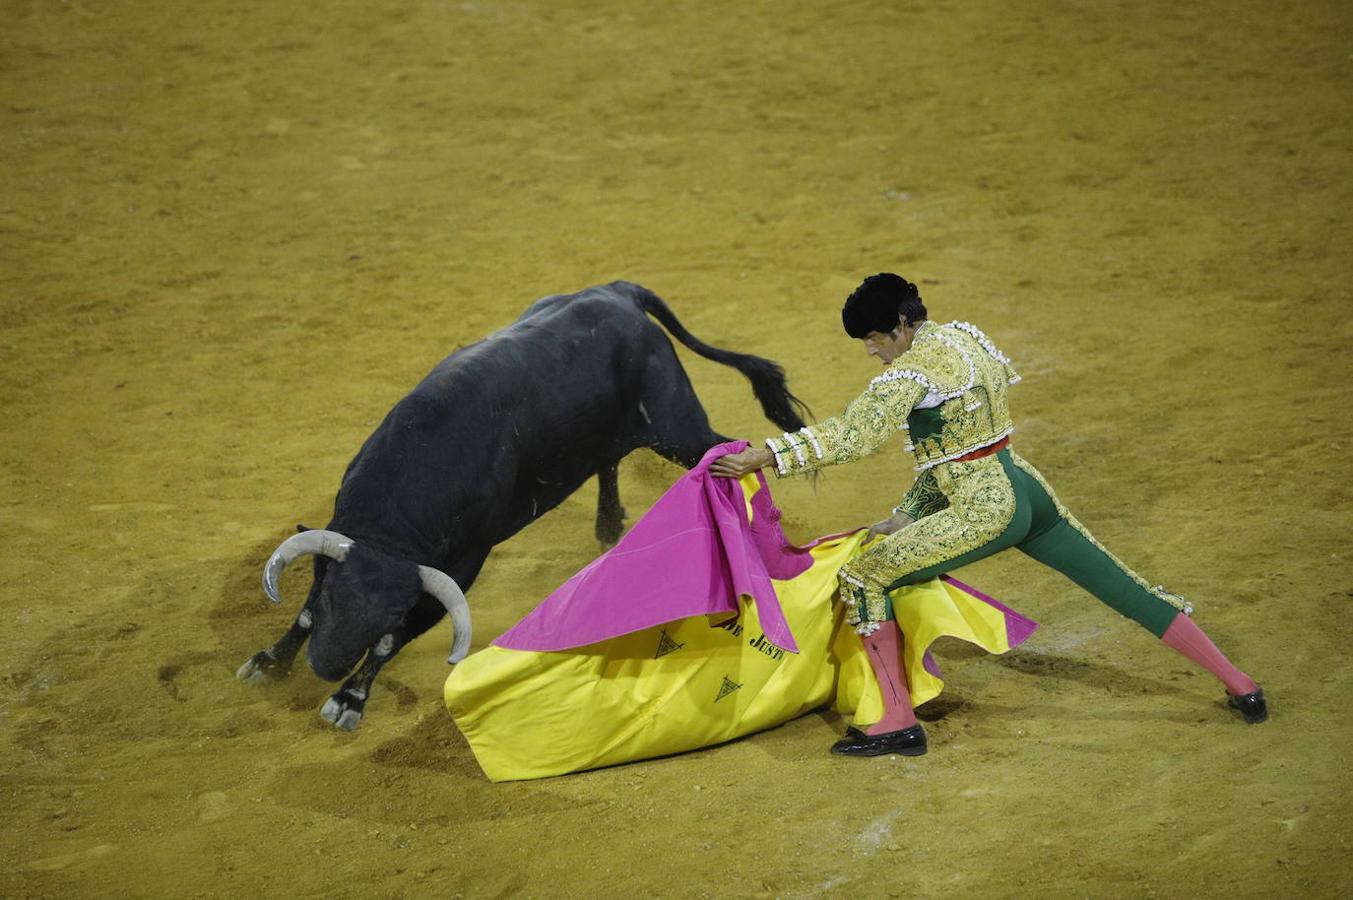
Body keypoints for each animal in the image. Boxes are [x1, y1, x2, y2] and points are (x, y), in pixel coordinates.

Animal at [238, 281, 806, 730]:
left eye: (388, 613)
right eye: (335, 595)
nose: (327, 667)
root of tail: (620, 292)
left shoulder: (464, 564)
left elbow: (392, 640)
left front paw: (349, 700)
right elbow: (304, 612)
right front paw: (269, 662)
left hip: (675, 425)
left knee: (726, 451)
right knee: (612, 458)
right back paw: (609, 527)